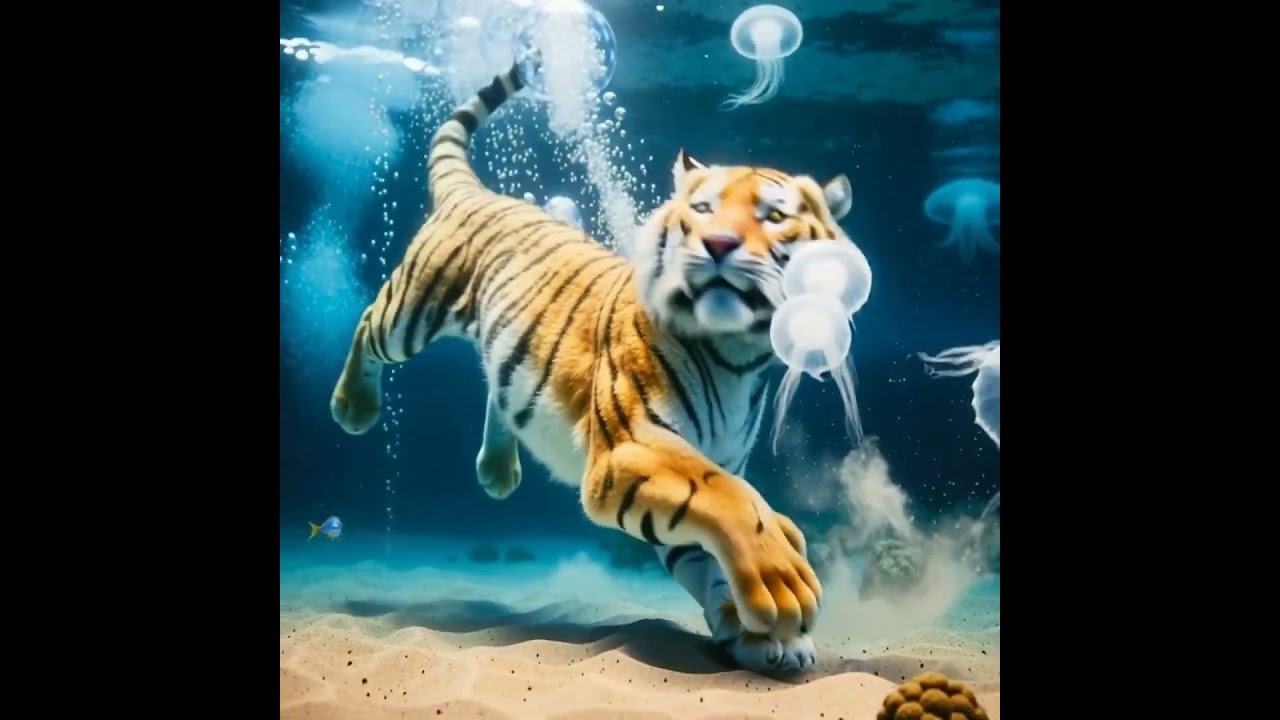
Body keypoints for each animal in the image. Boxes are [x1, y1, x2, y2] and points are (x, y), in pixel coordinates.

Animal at [329, 62, 854, 675]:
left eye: (773, 217)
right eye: (702, 210)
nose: (718, 243)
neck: (738, 357)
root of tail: (477, 190)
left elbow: (707, 554)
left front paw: (761, 636)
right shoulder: (629, 449)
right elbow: (725, 495)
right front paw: (784, 583)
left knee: (495, 384)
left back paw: (497, 470)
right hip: (414, 308)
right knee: (368, 323)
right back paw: (353, 405)